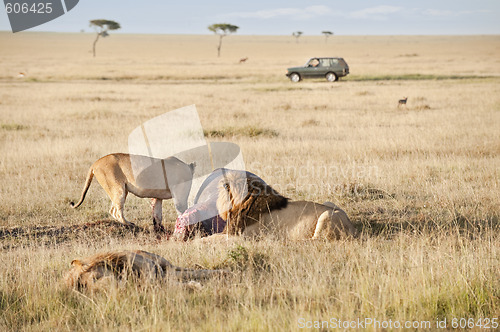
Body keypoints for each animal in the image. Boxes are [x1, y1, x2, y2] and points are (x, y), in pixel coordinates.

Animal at [64, 249, 227, 290]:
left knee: (193, 271)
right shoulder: (159, 280)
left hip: (166, 264)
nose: (107, 287)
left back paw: (224, 272)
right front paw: (195, 286)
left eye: (94, 278)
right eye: (83, 287)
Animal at [215, 172, 356, 240]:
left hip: (327, 215)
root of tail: (353, 228)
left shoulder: (242, 236)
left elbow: (212, 239)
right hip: (329, 203)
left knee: (317, 240)